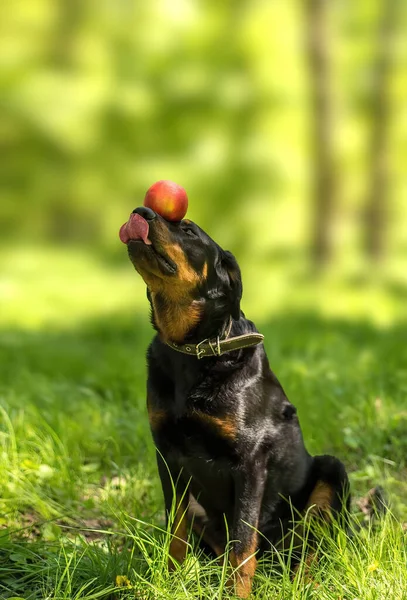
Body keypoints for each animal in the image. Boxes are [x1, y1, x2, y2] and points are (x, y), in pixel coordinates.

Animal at [121, 206, 350, 596]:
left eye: (188, 229)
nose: (141, 211)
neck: (195, 350)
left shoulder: (250, 461)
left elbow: (242, 545)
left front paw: (235, 594)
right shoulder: (167, 453)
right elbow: (176, 531)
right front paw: (171, 581)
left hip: (332, 475)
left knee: (311, 547)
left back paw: (303, 584)